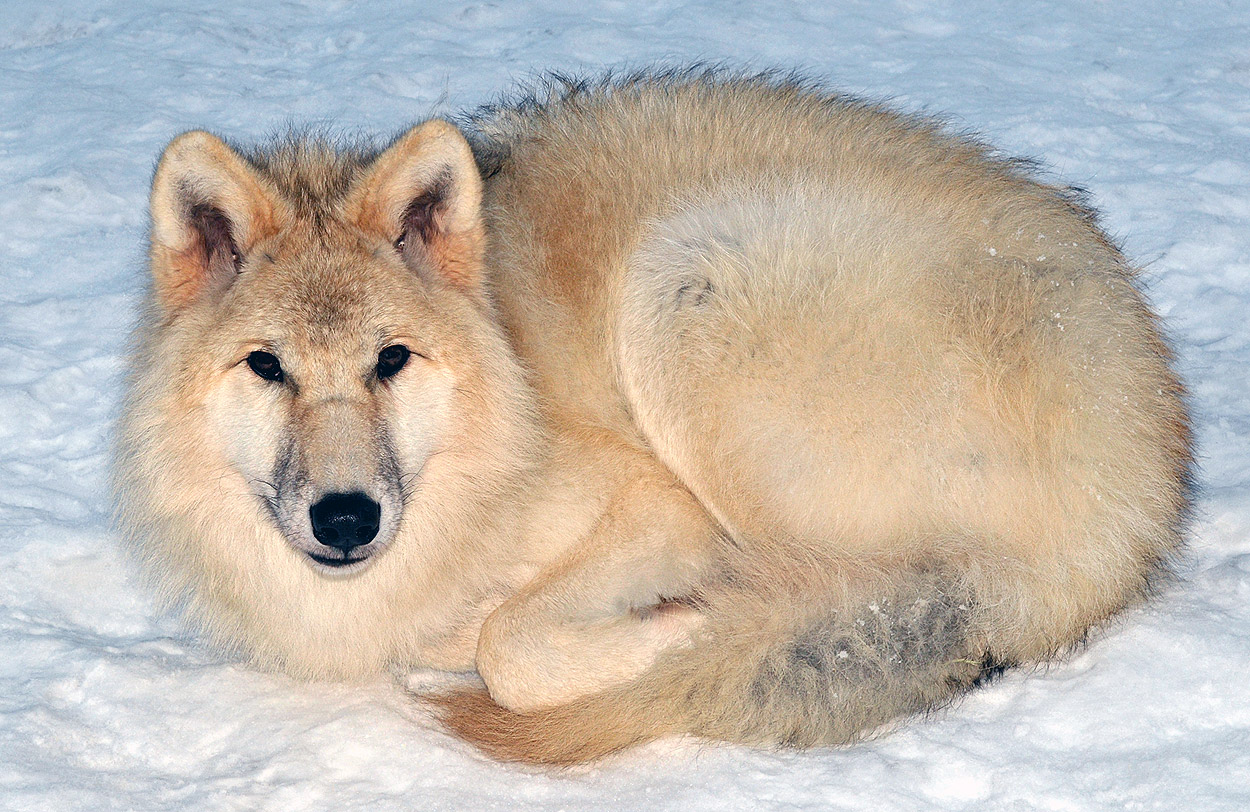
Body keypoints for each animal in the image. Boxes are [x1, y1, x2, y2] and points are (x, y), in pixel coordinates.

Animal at [115, 69, 1190, 759]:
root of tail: (1135, 501)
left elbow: (511, 642)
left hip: (690, 278)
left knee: (856, 592)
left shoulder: (651, 502)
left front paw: (664, 623)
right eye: (267, 367)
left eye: (391, 360)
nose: (346, 519)